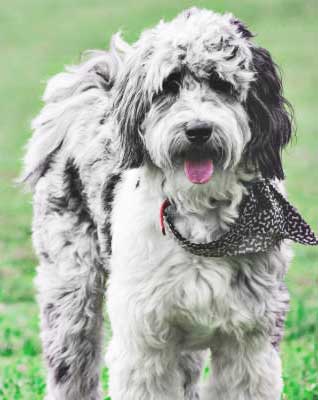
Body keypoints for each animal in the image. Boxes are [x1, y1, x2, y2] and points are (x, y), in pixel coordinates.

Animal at [21, 7, 296, 400]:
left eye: (221, 83)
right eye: (169, 84)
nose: (198, 130)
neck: (201, 221)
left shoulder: (249, 342)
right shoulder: (144, 340)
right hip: (71, 286)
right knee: (71, 364)